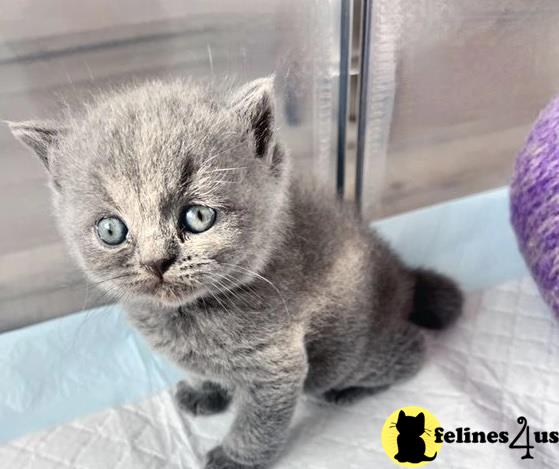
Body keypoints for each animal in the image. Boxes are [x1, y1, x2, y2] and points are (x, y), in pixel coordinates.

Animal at [9, 77, 464, 468]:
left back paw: (350, 389)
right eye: (110, 230)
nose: (157, 261)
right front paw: (205, 392)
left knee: (410, 349)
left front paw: (235, 458)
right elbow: (203, 372)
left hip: (340, 356)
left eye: (198, 216)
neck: (190, 316)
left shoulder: (277, 362)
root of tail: (402, 276)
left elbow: (258, 421)